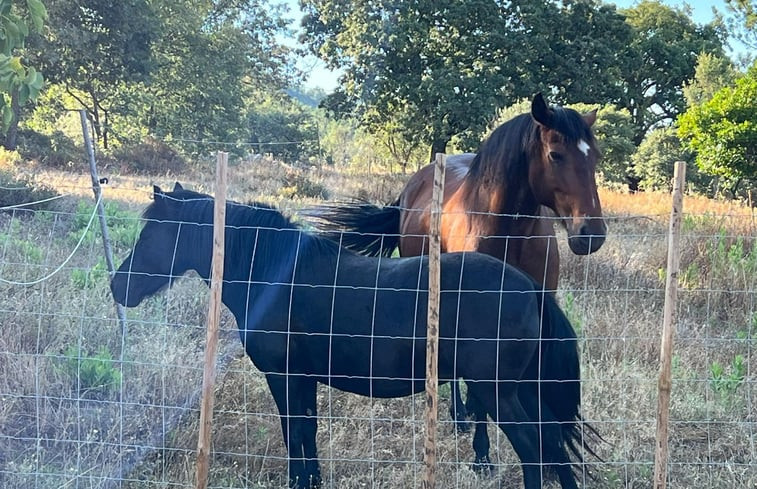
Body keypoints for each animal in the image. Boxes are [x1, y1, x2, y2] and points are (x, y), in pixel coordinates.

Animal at [109, 184, 592, 488]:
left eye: (153, 232)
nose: (118, 286)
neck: (275, 274)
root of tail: (528, 287)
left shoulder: (284, 377)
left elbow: (294, 434)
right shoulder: (302, 379)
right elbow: (307, 432)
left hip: (496, 392)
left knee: (533, 447)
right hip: (522, 389)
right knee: (553, 441)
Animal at [304, 92, 604, 468]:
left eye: (595, 157)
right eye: (555, 154)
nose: (592, 234)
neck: (509, 231)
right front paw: (482, 453)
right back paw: (459, 414)